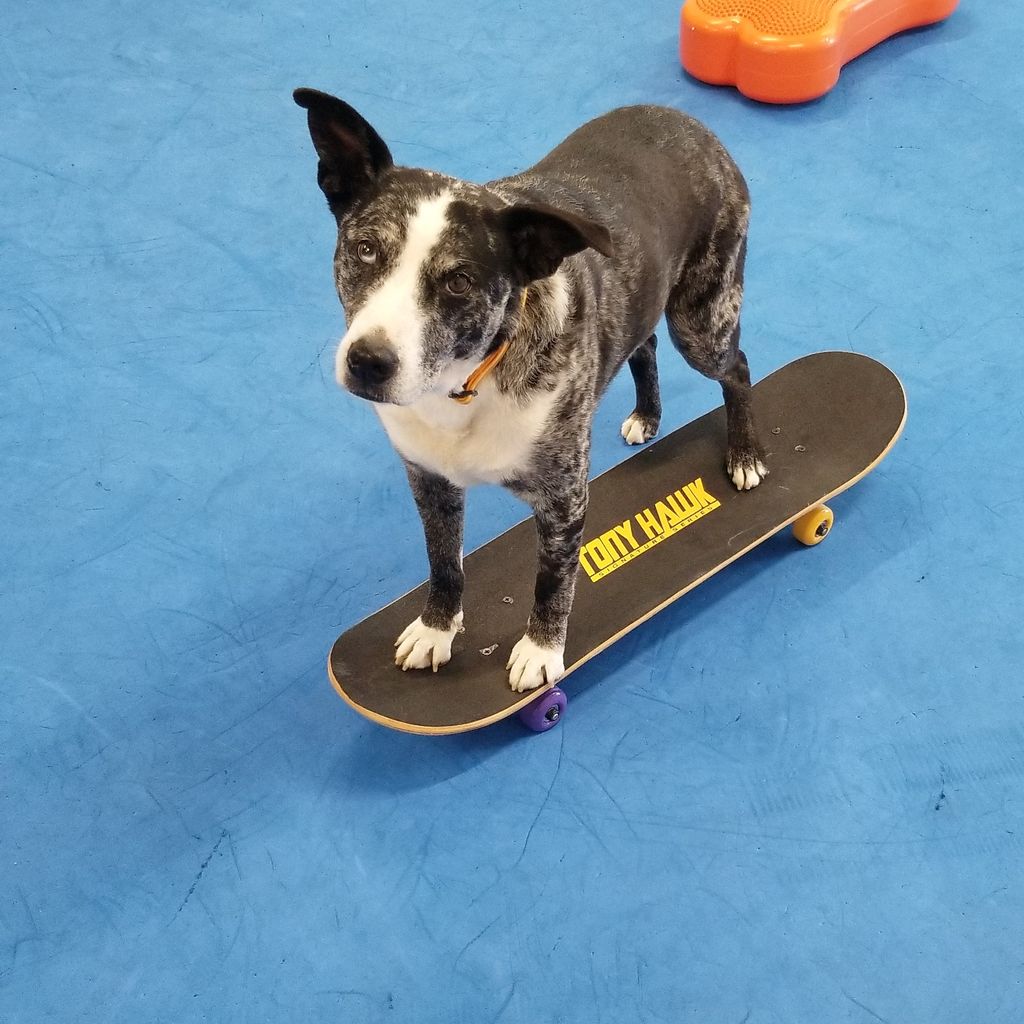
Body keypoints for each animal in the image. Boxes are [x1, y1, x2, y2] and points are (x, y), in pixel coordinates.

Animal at [292, 90, 765, 696]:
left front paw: (542, 650)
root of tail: (690, 122)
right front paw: (437, 628)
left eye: (459, 281)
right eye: (367, 249)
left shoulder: (564, 500)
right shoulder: (429, 482)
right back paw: (647, 413)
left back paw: (744, 453)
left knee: (737, 368)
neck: (463, 386)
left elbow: (551, 582)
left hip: (702, 321)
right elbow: (443, 564)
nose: (368, 362)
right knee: (644, 342)